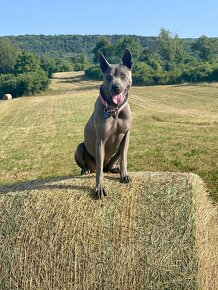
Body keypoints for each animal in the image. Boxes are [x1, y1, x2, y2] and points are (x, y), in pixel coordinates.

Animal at [74, 49, 133, 198]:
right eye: (108, 77)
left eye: (122, 75)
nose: (115, 87)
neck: (114, 110)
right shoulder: (100, 140)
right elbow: (99, 170)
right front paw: (99, 188)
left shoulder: (126, 136)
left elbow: (124, 158)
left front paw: (124, 175)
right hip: (79, 148)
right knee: (96, 167)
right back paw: (86, 170)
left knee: (108, 166)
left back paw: (113, 169)